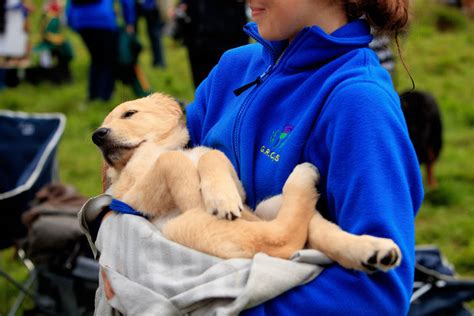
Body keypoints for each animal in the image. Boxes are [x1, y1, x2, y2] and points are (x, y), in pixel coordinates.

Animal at [93, 92, 404, 272]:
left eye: (129, 113)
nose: (98, 135)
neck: (155, 148)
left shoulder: (232, 179)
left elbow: (211, 156)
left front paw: (220, 196)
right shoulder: (131, 195)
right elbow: (174, 162)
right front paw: (202, 197)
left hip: (268, 206)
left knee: (314, 230)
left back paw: (373, 250)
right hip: (186, 229)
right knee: (283, 238)